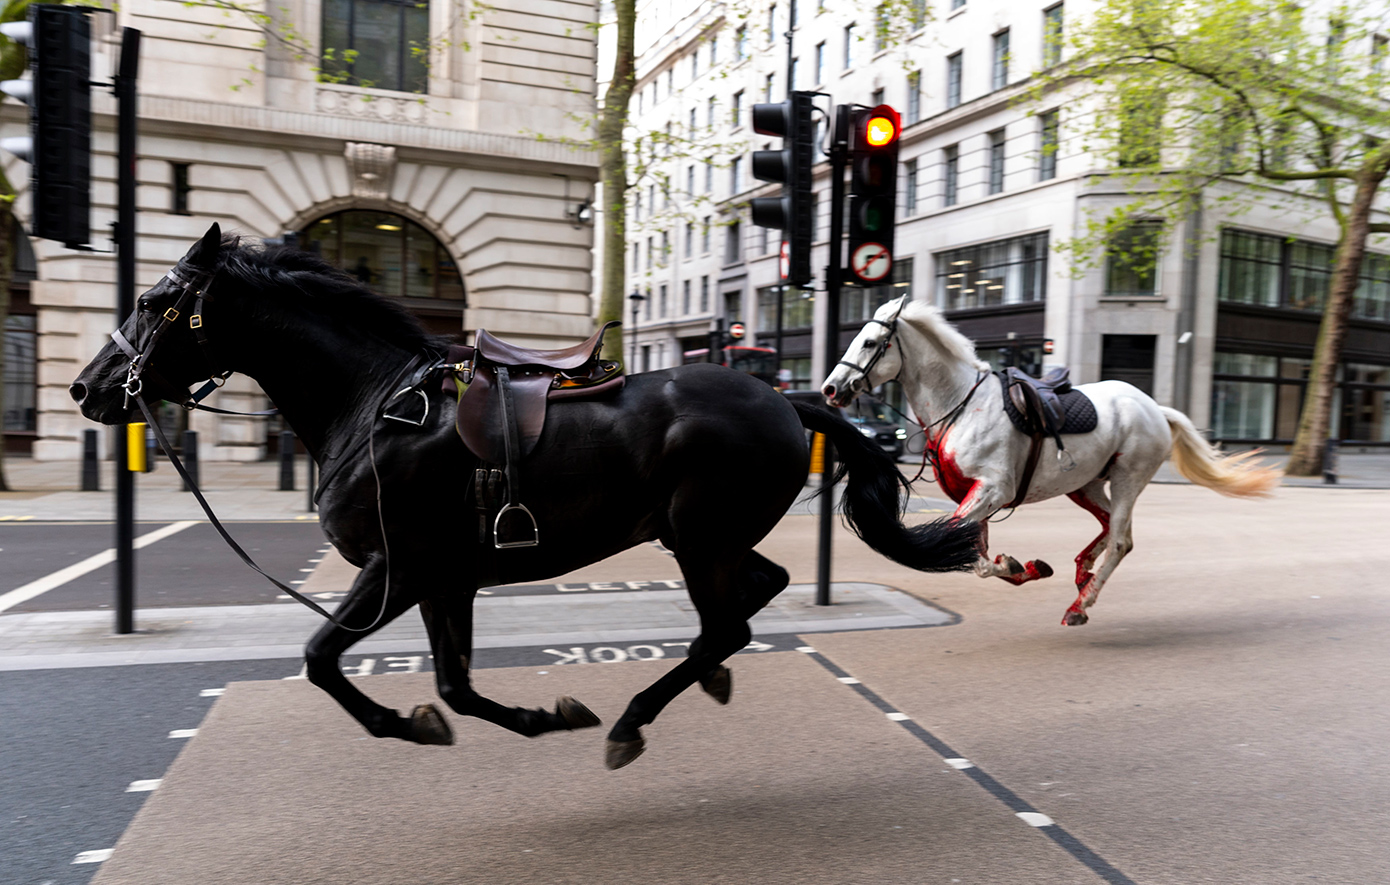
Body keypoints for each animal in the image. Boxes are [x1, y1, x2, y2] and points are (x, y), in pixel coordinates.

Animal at [73, 226, 978, 766]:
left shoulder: (397, 567)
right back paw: (701, 680)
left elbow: (323, 657)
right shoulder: (445, 579)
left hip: (698, 536)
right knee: (756, 596)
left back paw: (635, 717)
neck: (372, 405)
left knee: (729, 620)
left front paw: (404, 722)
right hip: (702, 536)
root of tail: (785, 399)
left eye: (154, 302)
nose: (88, 388)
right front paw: (534, 716)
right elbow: (454, 685)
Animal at [811, 294, 1278, 622]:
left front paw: (1018, 565)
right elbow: (976, 555)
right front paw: (1023, 566)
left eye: (871, 342)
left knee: (1121, 540)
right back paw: (1082, 573)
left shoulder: (992, 489)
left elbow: (973, 555)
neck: (962, 405)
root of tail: (1153, 407)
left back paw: (1080, 605)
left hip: (1128, 477)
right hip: (1085, 484)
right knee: (1109, 527)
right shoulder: (977, 496)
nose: (830, 389)